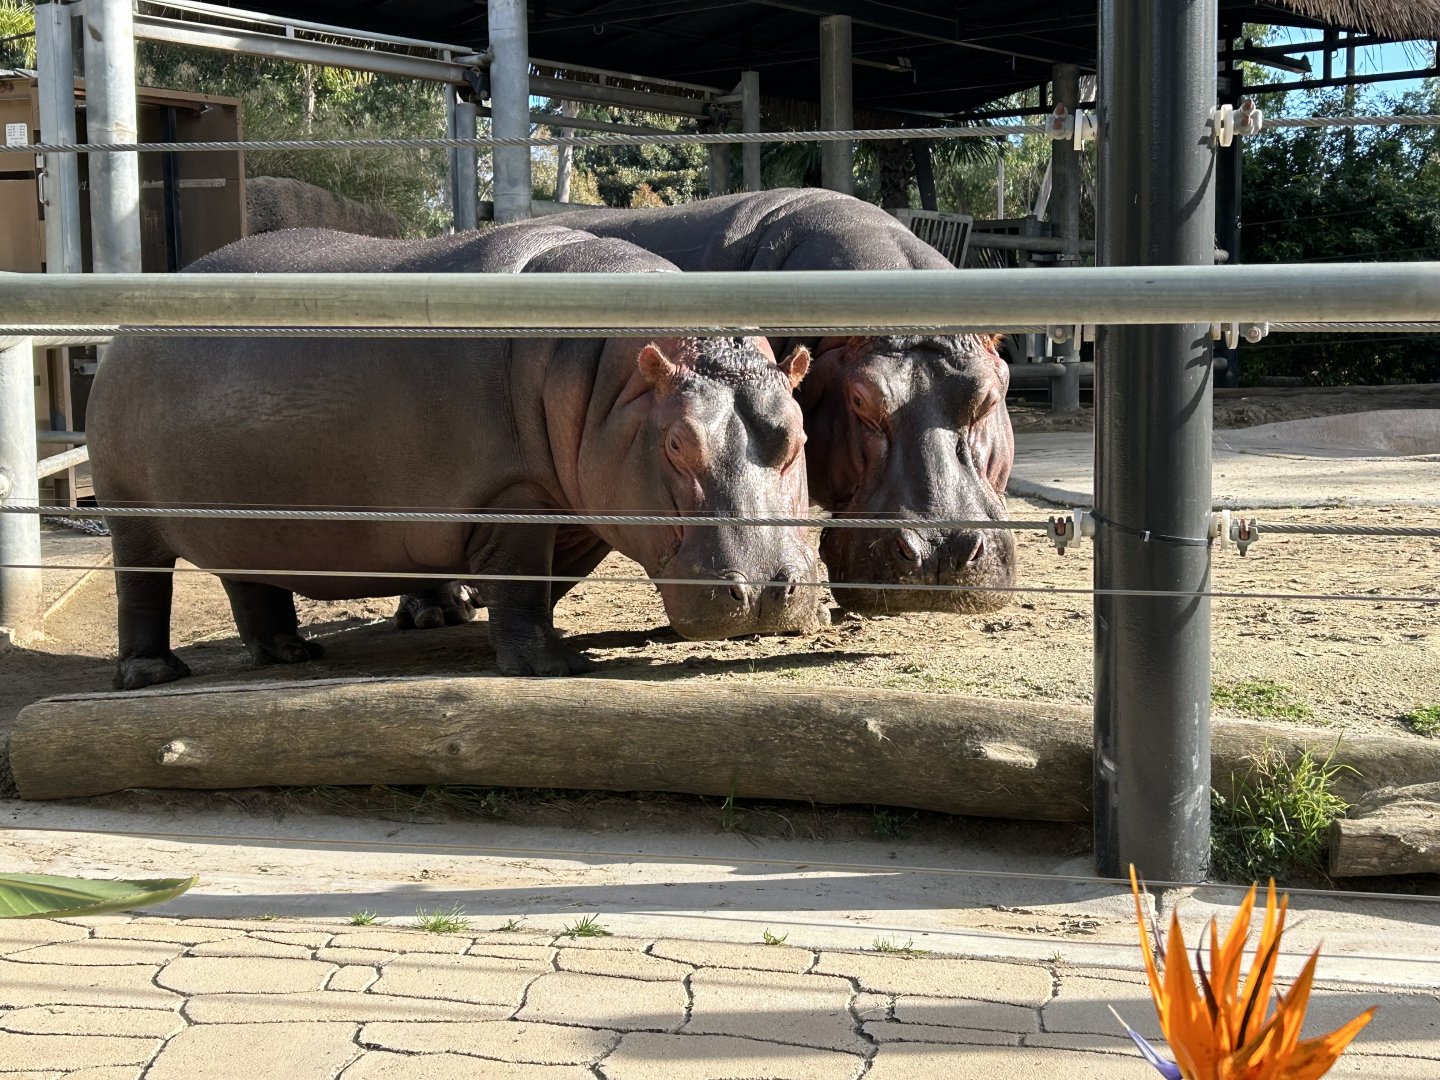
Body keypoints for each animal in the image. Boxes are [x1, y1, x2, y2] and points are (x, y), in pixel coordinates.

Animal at [86, 226, 821, 690]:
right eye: (677, 443)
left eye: (798, 435)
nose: (766, 593)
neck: (608, 377)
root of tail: (127, 328)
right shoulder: (511, 499)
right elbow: (522, 583)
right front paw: (552, 665)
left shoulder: (567, 505)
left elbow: (543, 583)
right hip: (129, 513)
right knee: (142, 587)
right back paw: (151, 675)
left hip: (241, 516)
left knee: (251, 582)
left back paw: (291, 652)